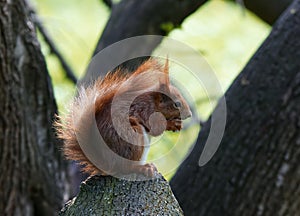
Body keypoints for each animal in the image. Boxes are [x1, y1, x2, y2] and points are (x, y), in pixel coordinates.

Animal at [55, 58, 192, 178]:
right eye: (176, 104)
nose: (190, 114)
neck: (153, 102)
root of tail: (109, 165)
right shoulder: (145, 110)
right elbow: (155, 129)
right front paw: (172, 124)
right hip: (133, 139)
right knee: (126, 168)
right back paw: (142, 168)